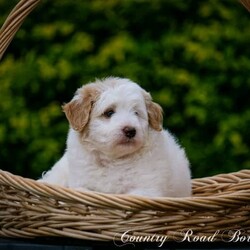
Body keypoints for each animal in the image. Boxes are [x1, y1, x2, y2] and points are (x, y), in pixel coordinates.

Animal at [39, 77, 191, 198]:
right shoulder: (80, 184)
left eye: (136, 113)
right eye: (109, 112)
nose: (130, 130)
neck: (114, 160)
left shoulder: (147, 189)